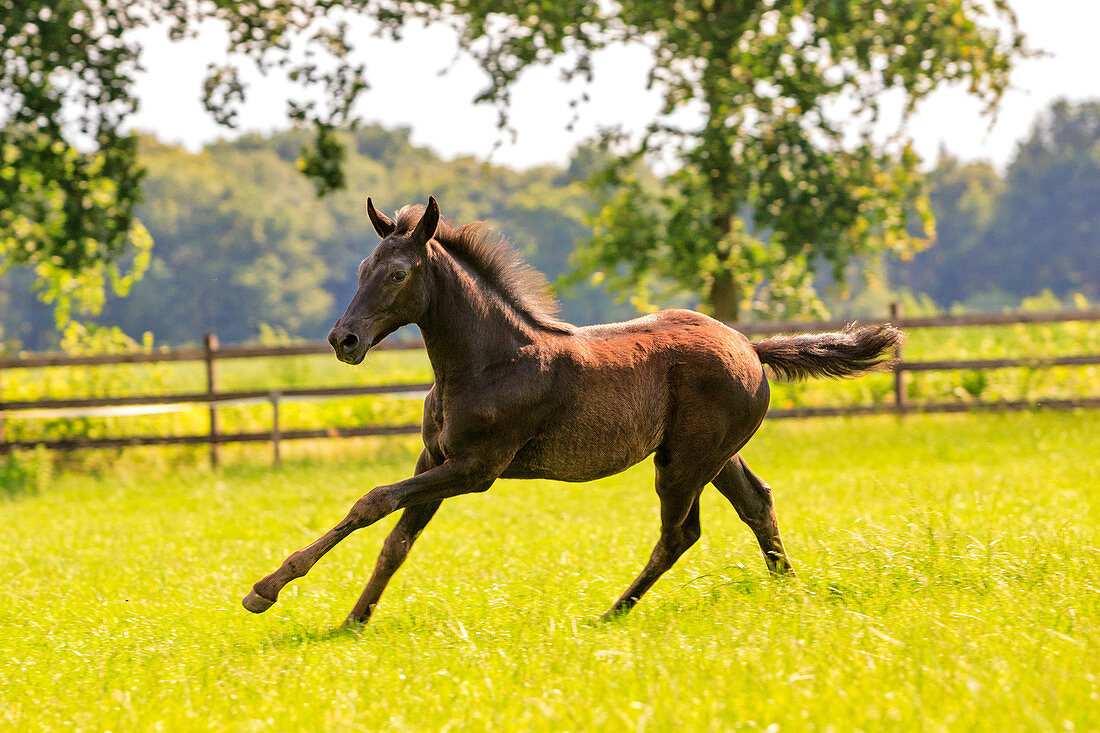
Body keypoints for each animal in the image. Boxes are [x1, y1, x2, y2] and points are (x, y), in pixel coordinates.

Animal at [243, 197, 902, 625]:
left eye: (399, 273)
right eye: (363, 269)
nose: (344, 339)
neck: (486, 362)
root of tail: (749, 346)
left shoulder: (476, 469)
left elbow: (374, 500)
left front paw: (265, 589)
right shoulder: (435, 458)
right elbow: (396, 539)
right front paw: (351, 620)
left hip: (685, 461)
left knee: (680, 532)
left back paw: (612, 613)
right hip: (712, 455)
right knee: (755, 503)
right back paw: (790, 591)